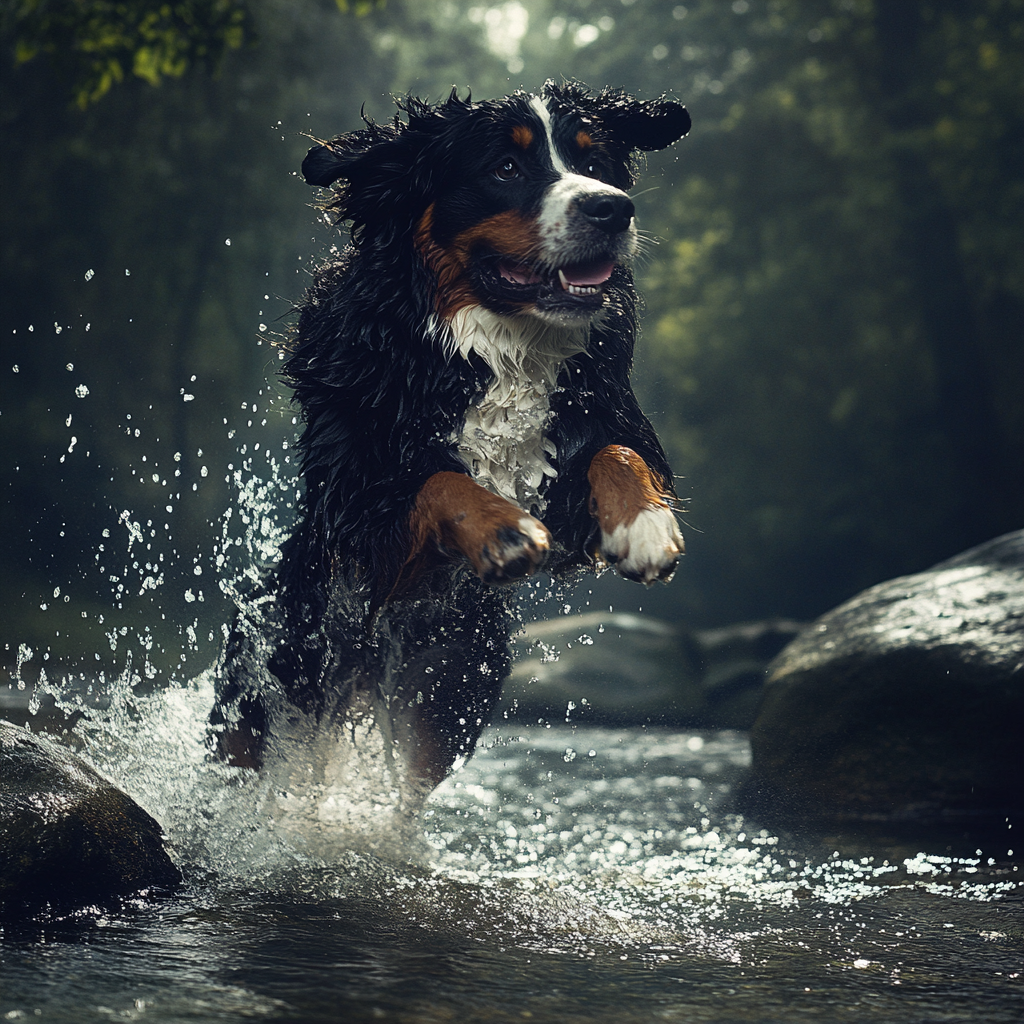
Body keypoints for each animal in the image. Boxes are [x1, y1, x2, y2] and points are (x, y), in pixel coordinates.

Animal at [207, 79, 688, 802]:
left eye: (594, 161)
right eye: (505, 168)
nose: (612, 209)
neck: (500, 349)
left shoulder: (581, 449)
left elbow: (618, 451)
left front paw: (646, 526)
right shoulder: (366, 527)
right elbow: (440, 479)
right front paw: (504, 529)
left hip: (447, 702)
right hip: (263, 699)